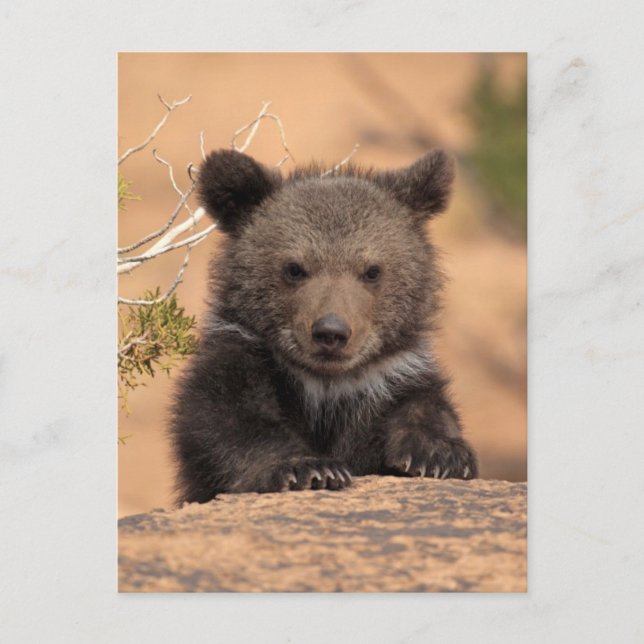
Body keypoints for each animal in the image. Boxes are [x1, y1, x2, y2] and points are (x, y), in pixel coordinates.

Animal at [169, 148, 478, 504]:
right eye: (294, 268)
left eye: (372, 271)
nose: (331, 332)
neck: (326, 388)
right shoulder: (243, 359)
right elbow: (228, 419)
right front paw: (308, 467)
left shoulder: (391, 377)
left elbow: (424, 406)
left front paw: (440, 454)